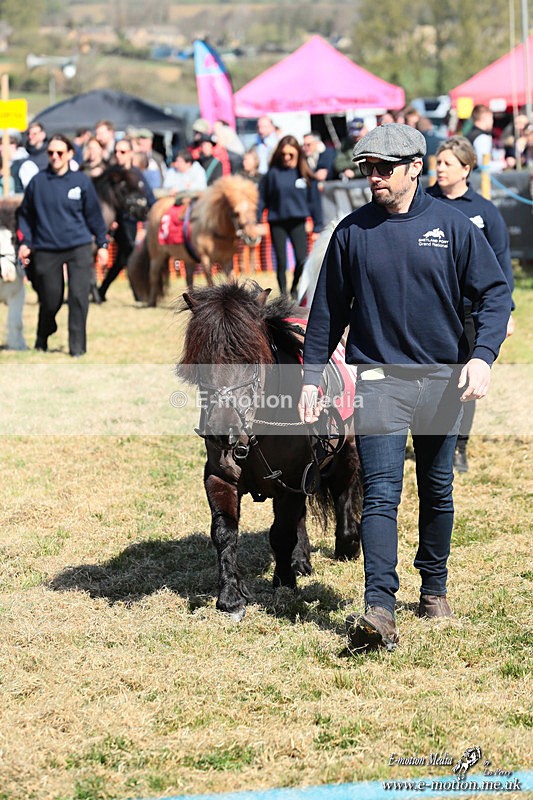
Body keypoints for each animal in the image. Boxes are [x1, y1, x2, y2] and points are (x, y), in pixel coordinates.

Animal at [128, 175, 262, 306]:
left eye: (254, 210)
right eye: (236, 213)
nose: (252, 237)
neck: (213, 228)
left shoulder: (227, 261)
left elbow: (230, 280)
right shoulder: (204, 258)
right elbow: (210, 281)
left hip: (188, 259)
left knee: (188, 279)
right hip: (157, 255)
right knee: (154, 275)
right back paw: (151, 302)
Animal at [178, 280, 362, 621]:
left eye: (251, 359)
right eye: (202, 359)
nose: (222, 430)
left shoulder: (295, 476)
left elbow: (281, 533)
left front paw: (284, 581)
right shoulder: (221, 477)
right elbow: (224, 532)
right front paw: (231, 595)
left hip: (345, 450)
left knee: (344, 491)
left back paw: (347, 544)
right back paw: (301, 560)